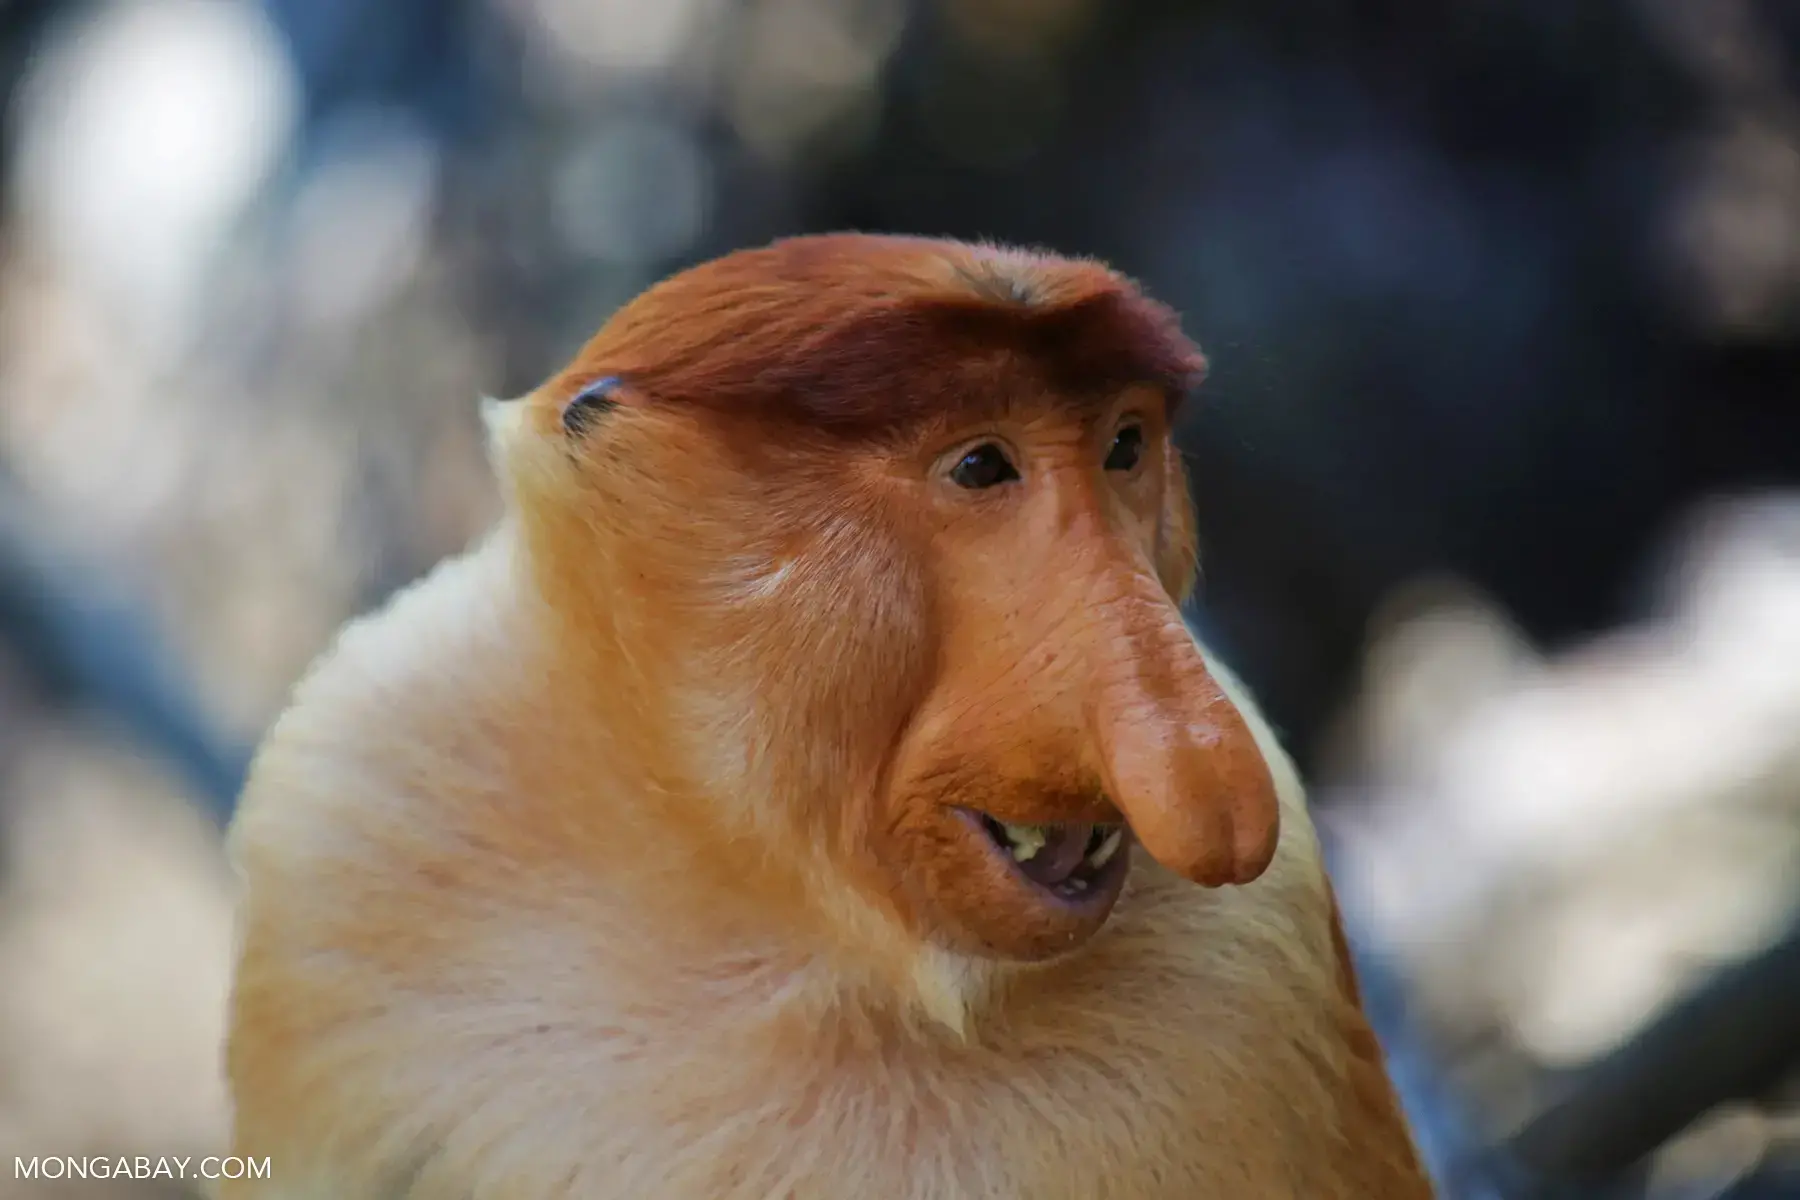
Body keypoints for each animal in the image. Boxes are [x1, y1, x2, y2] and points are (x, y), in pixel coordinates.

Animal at [221, 234, 1436, 1199]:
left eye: (1124, 447)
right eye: (981, 466)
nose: (1199, 753)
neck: (770, 921)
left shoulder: (1256, 965)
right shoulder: (350, 815)